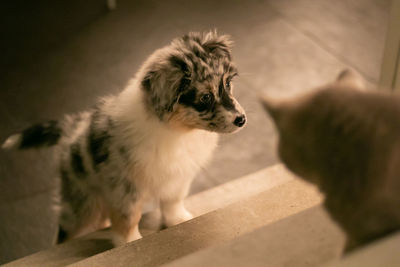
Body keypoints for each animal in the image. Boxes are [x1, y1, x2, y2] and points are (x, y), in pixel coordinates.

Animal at [1, 30, 247, 247]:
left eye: (227, 84)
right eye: (205, 97)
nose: (242, 119)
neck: (177, 131)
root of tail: (72, 127)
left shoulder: (177, 176)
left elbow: (172, 201)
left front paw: (179, 220)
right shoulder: (124, 186)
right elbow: (128, 217)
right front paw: (130, 242)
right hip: (82, 202)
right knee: (66, 231)